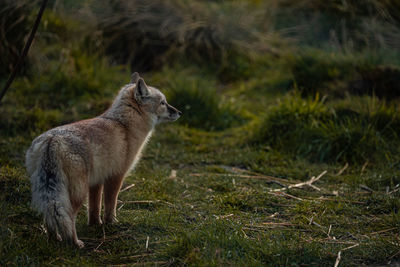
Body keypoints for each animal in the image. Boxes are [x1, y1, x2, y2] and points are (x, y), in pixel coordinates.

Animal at [25, 72, 181, 248]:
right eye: (163, 103)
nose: (179, 112)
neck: (123, 125)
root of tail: (52, 141)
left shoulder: (96, 181)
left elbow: (94, 207)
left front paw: (95, 224)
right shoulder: (116, 175)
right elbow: (110, 204)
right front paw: (111, 223)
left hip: (56, 192)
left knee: (50, 217)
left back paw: (54, 239)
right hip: (77, 194)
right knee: (69, 218)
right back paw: (75, 243)